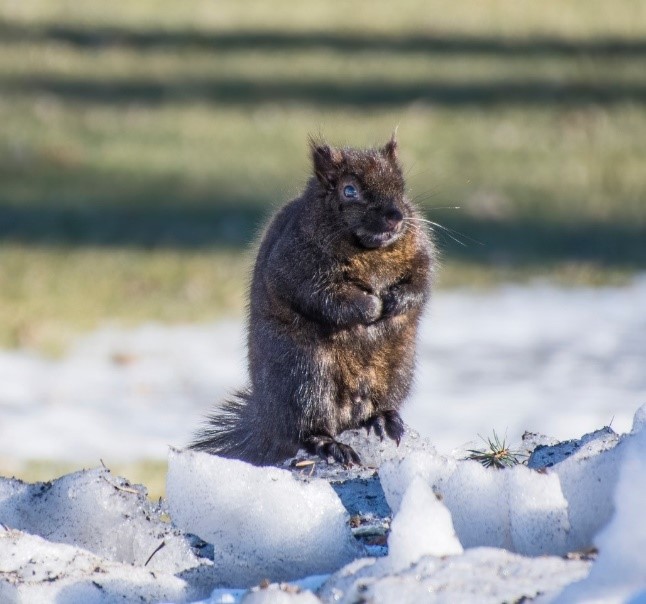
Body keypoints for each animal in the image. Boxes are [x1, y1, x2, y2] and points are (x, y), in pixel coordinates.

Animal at [190, 135, 434, 466]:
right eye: (349, 190)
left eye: (401, 185)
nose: (395, 217)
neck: (370, 250)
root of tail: (267, 419)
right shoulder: (295, 264)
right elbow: (321, 296)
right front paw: (370, 306)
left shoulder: (419, 249)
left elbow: (420, 282)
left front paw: (396, 302)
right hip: (305, 377)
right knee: (307, 428)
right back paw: (331, 444)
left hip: (396, 371)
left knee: (375, 407)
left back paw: (383, 419)